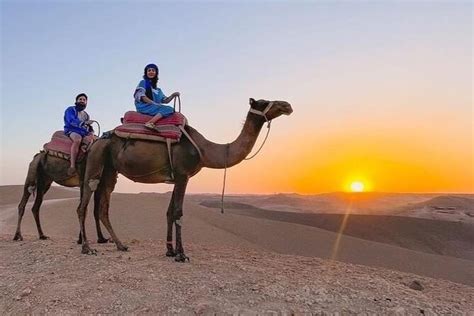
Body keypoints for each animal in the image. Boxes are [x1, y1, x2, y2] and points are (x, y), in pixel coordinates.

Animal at [77, 99, 292, 262]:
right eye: (263, 101)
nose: (287, 105)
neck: (205, 150)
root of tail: (98, 139)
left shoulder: (176, 178)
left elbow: (170, 212)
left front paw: (170, 251)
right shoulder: (183, 175)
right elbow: (179, 212)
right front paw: (181, 255)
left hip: (110, 169)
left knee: (103, 205)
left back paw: (121, 245)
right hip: (96, 159)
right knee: (84, 202)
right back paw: (87, 248)